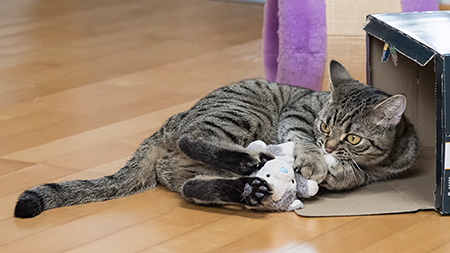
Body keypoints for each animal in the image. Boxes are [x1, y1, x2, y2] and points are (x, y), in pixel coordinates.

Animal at [15, 60, 420, 217]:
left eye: (352, 138)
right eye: (324, 127)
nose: (329, 146)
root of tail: (163, 128)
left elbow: (356, 175)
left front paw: (341, 171)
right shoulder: (298, 112)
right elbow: (301, 139)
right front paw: (314, 161)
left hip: (198, 168)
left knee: (191, 188)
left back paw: (251, 188)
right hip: (241, 112)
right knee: (192, 138)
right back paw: (248, 162)